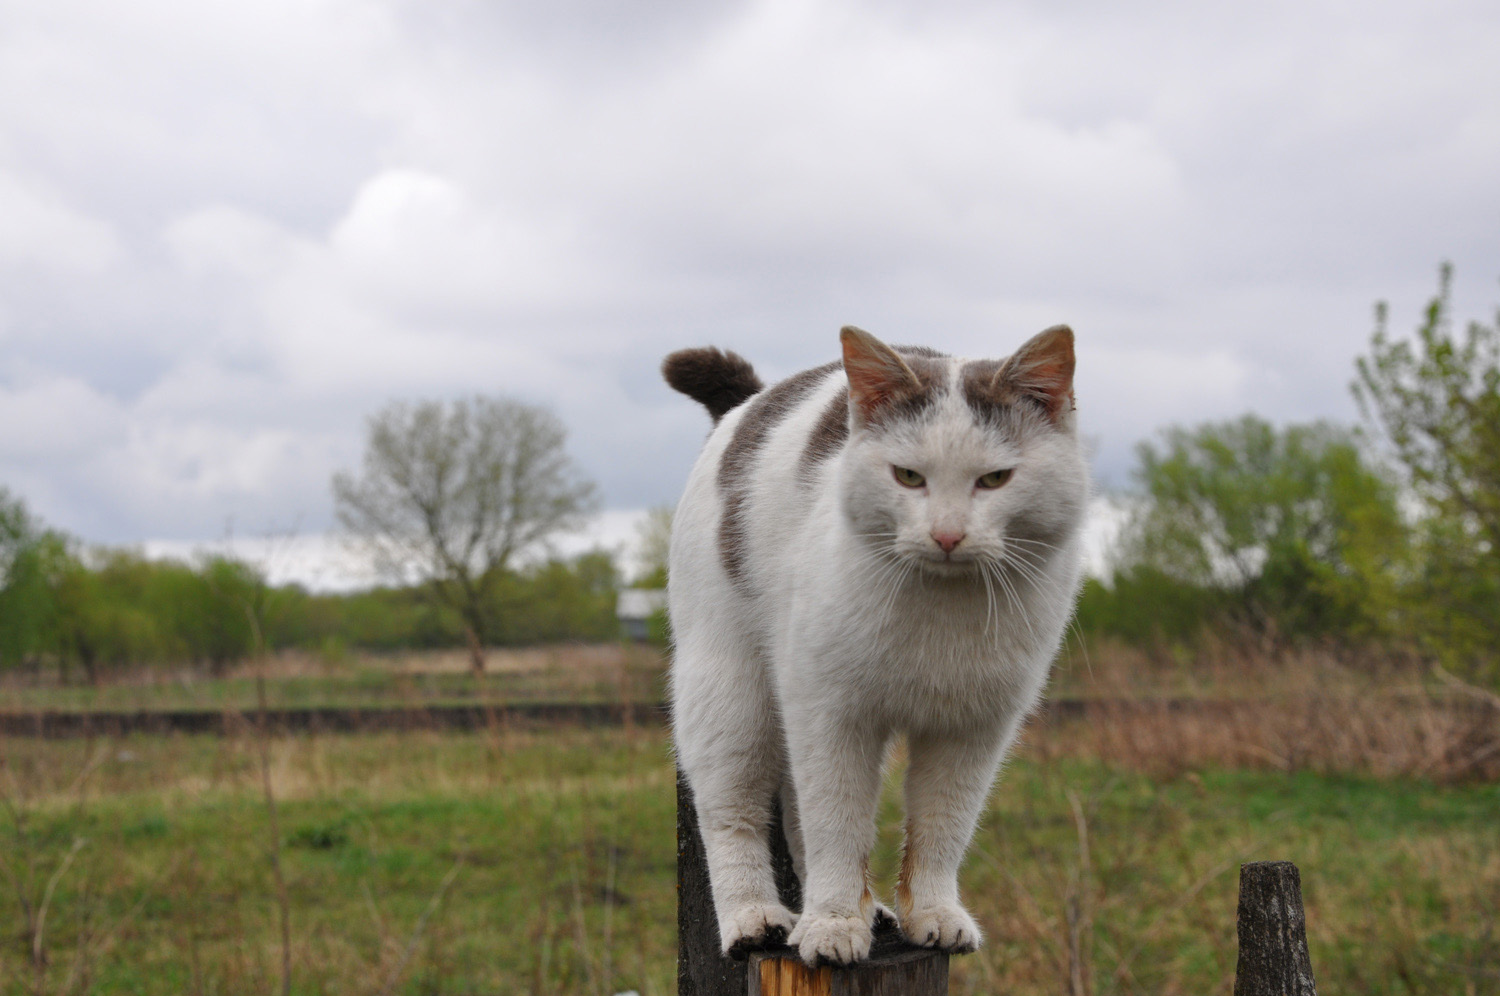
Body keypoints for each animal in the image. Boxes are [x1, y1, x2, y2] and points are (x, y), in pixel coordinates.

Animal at [663, 325, 1086, 966]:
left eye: (994, 479)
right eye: (908, 476)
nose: (946, 535)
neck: (941, 609)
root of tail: (753, 399)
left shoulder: (975, 728)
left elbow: (942, 826)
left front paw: (929, 913)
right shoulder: (831, 712)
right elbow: (839, 823)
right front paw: (832, 925)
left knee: (797, 810)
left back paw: (862, 911)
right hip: (730, 695)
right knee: (734, 812)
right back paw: (755, 919)